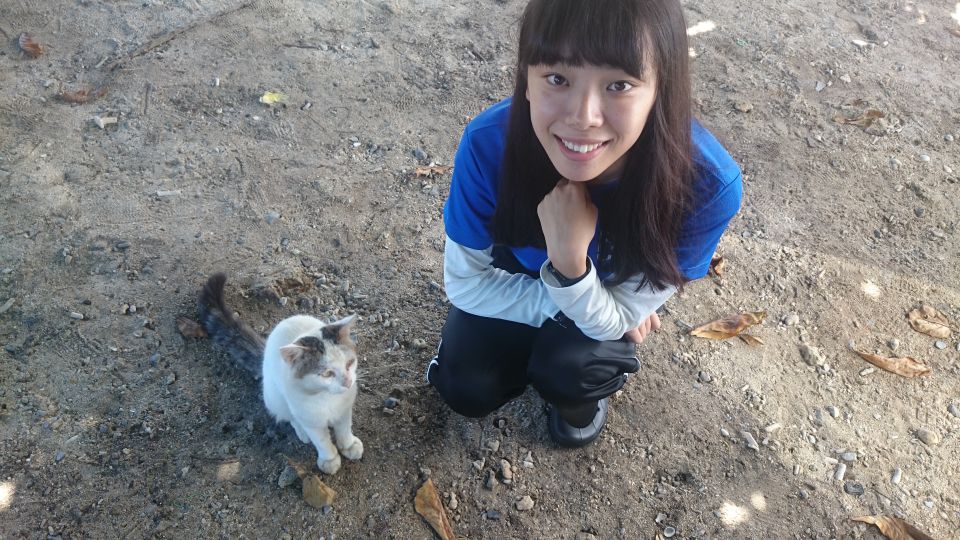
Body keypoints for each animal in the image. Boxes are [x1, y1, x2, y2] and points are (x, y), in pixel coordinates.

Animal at [198, 272, 363, 475]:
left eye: (350, 363)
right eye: (326, 374)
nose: (348, 382)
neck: (327, 398)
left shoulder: (344, 409)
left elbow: (344, 429)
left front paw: (348, 445)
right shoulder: (309, 417)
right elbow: (321, 440)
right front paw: (329, 459)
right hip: (275, 397)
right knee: (289, 416)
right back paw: (301, 432)